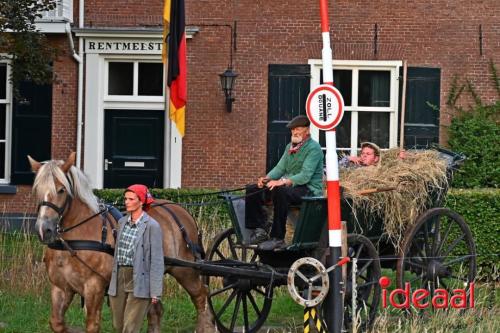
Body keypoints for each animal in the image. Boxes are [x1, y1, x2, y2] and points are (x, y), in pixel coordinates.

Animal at [29, 152, 213, 332]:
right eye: (37, 189)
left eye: (61, 190)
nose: (43, 229)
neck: (73, 241)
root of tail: (181, 210)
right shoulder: (60, 288)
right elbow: (57, 323)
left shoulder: (94, 287)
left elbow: (92, 325)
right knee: (156, 310)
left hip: (185, 270)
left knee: (201, 296)